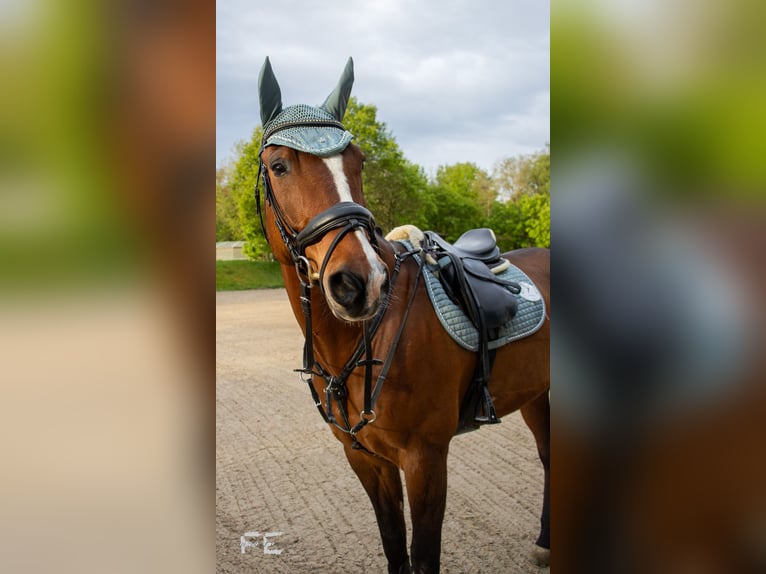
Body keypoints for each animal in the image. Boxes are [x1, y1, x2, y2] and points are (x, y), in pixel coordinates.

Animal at [254, 57, 550, 574]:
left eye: (358, 161)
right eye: (279, 165)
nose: (359, 282)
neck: (363, 339)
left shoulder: (426, 458)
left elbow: (423, 555)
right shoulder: (367, 460)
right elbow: (395, 546)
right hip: (535, 394)